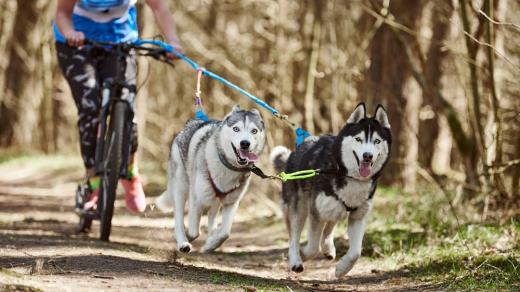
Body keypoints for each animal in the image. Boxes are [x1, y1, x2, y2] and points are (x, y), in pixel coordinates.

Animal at [156, 105, 266, 253]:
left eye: (254, 131)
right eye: (236, 129)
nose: (245, 143)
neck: (227, 166)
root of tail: (191, 123)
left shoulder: (231, 202)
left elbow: (225, 233)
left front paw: (211, 244)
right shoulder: (196, 199)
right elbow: (194, 232)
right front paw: (188, 238)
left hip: (215, 200)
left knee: (212, 218)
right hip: (181, 186)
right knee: (179, 217)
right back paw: (183, 242)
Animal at [270, 103, 392, 278]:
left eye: (377, 141)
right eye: (358, 139)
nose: (367, 156)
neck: (343, 172)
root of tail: (298, 148)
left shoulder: (358, 216)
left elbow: (356, 252)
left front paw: (342, 269)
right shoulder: (316, 212)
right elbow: (313, 247)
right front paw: (304, 254)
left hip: (335, 209)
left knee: (330, 225)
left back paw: (328, 248)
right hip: (300, 207)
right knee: (294, 236)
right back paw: (296, 260)